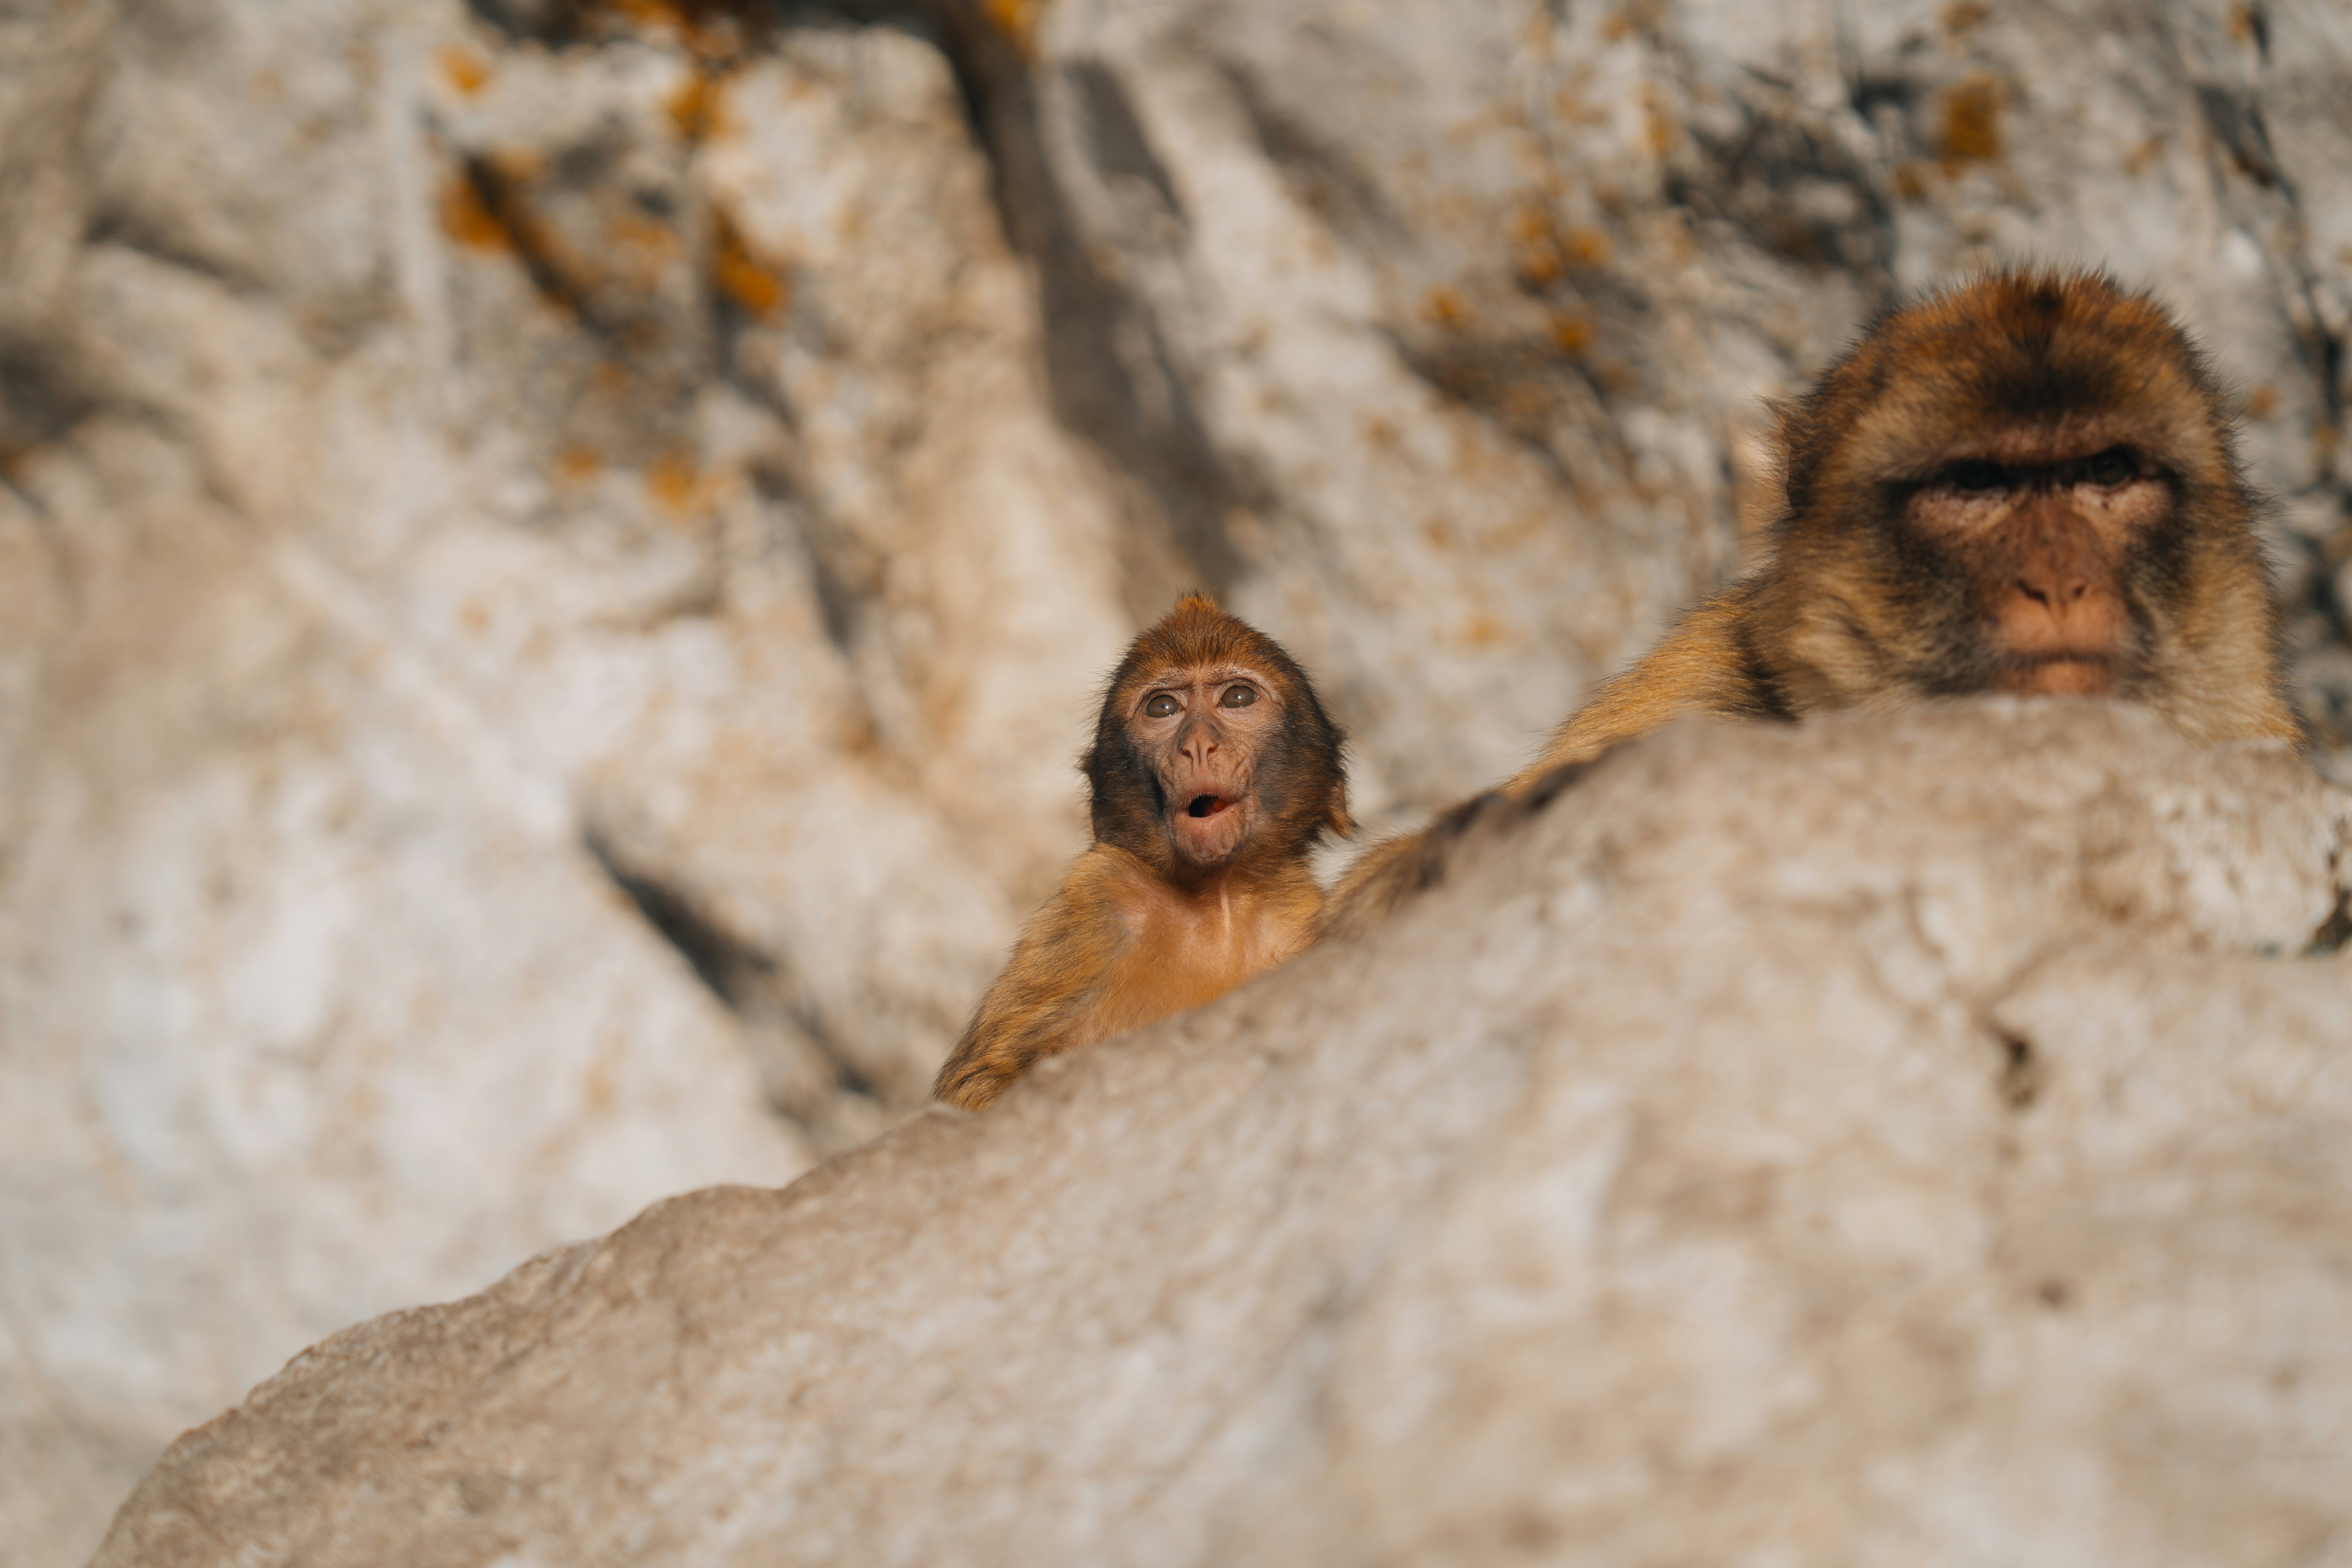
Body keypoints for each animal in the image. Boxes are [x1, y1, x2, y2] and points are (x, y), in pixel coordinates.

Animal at [933, 593, 1350, 1111]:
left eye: (1237, 698)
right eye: (1163, 707)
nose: (1197, 745)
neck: (1220, 905)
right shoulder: (1101, 897)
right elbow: (977, 1084)